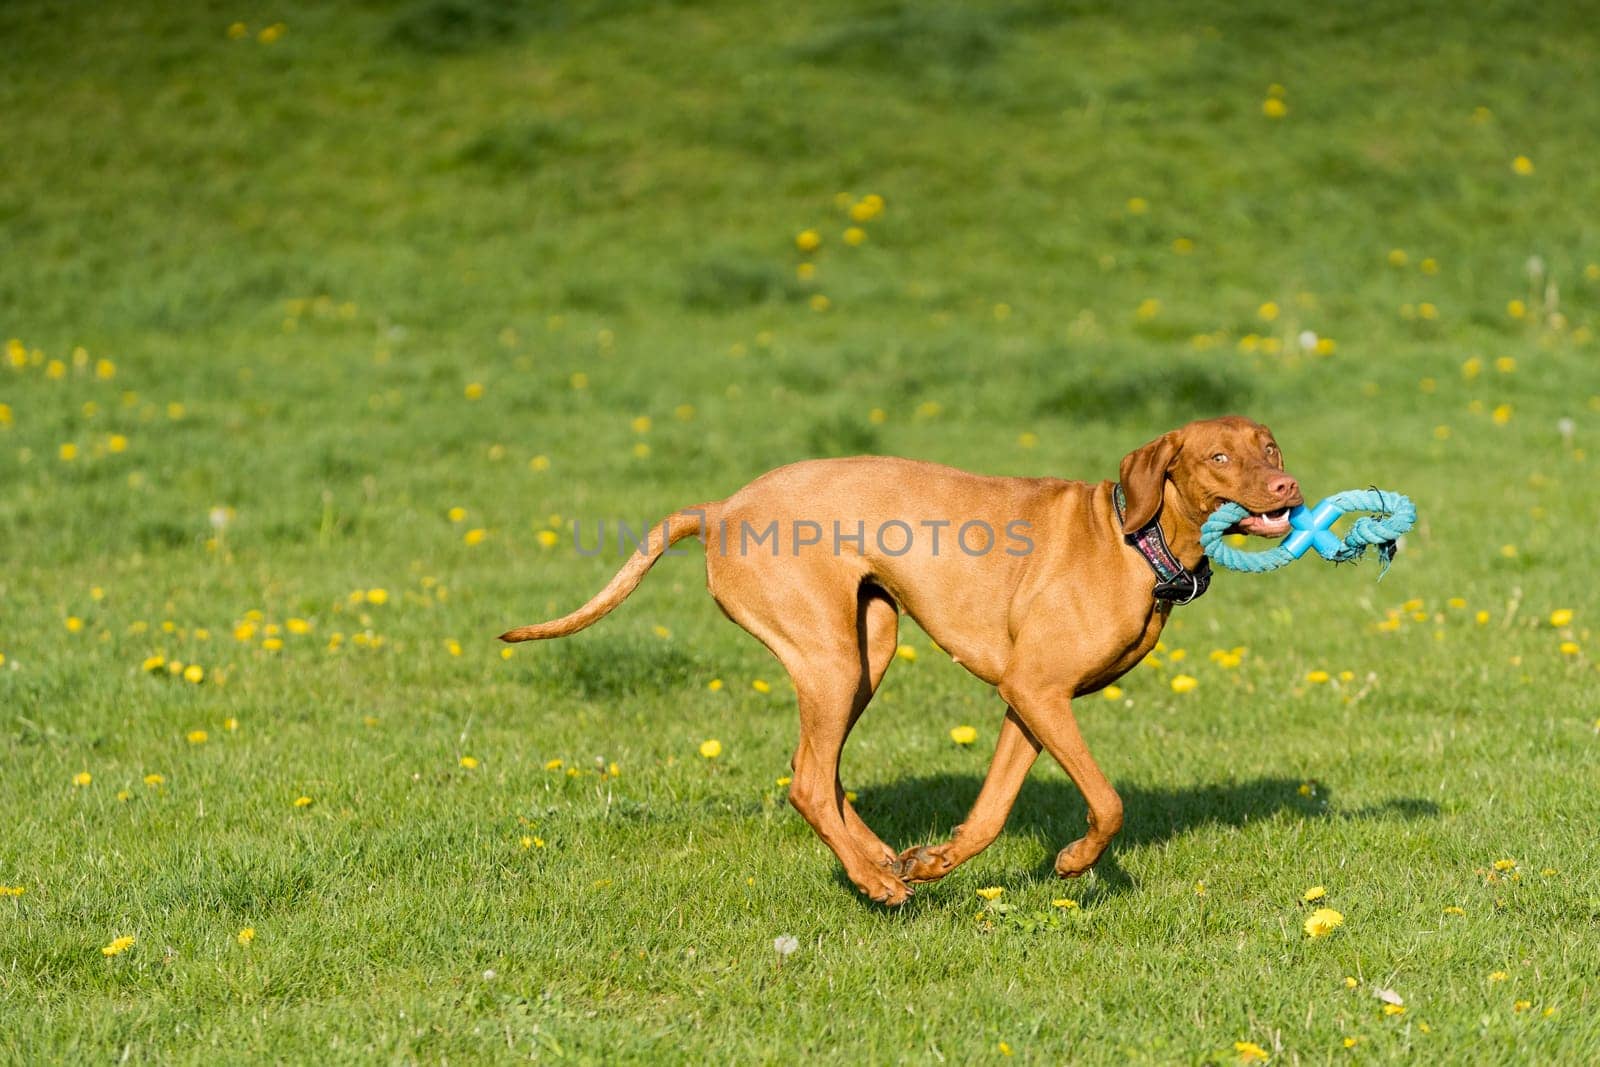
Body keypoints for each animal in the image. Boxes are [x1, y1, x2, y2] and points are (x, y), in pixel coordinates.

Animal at [499, 415, 1299, 902]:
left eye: (1270, 449)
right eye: (1218, 457)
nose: (1288, 485)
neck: (1137, 542)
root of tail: (721, 509)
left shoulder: (1027, 702)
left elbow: (989, 812)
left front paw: (937, 861)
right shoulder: (1037, 690)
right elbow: (1108, 801)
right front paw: (1076, 862)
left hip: (866, 648)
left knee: (817, 770)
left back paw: (883, 860)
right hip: (830, 657)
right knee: (808, 783)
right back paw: (875, 881)